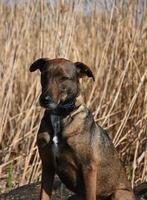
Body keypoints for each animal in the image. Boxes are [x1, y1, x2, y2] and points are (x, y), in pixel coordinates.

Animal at [30, 58, 137, 200]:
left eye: (64, 78)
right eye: (44, 75)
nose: (44, 99)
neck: (60, 116)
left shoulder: (88, 167)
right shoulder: (47, 166)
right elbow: (44, 195)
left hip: (118, 193)